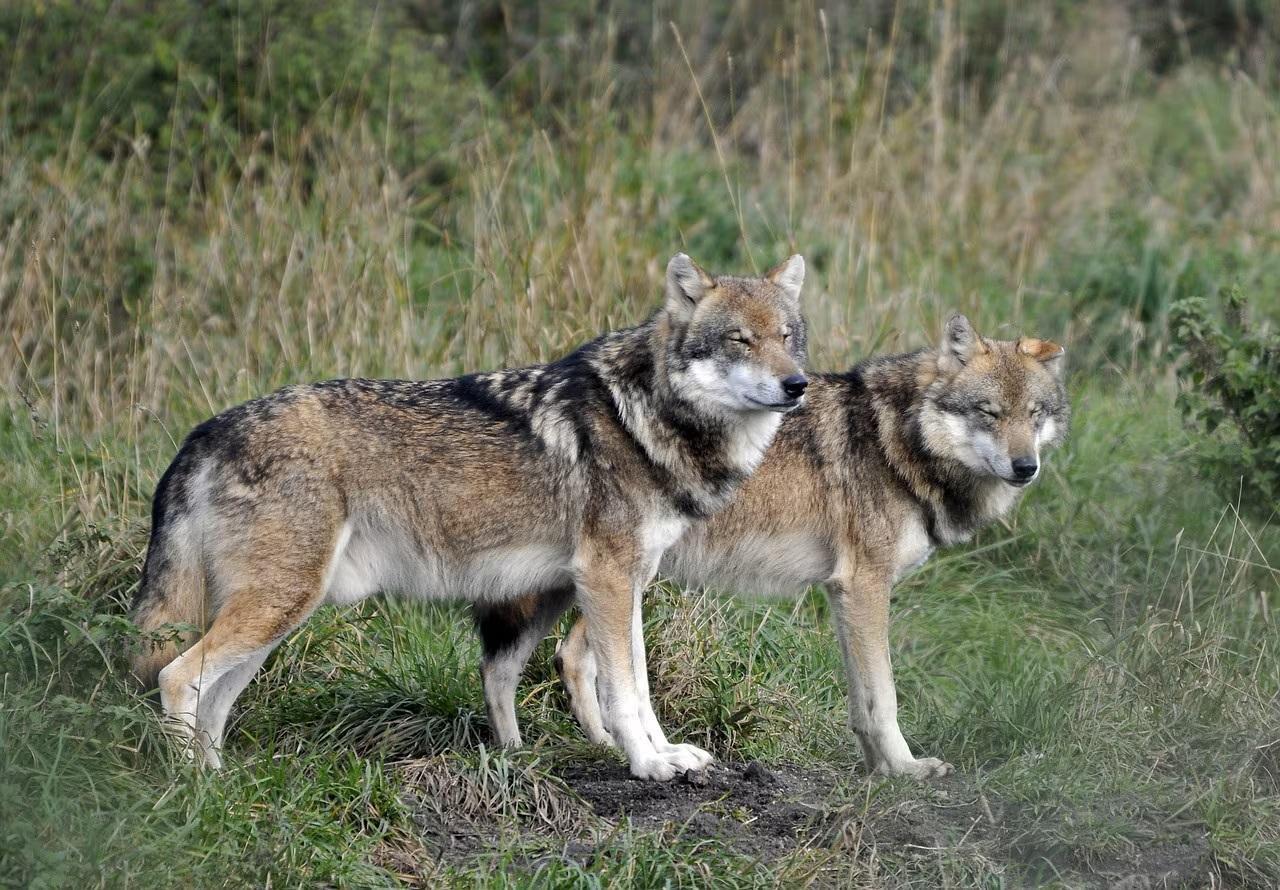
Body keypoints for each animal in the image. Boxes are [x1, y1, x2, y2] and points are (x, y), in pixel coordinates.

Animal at [131, 252, 809, 780]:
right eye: (739, 340)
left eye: (786, 337)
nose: (797, 385)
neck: (642, 417)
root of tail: (205, 431)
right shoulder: (609, 580)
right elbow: (623, 691)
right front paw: (647, 765)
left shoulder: (629, 582)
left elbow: (638, 687)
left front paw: (667, 754)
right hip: (278, 604)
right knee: (176, 677)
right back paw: (195, 788)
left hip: (278, 616)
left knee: (213, 699)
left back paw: (220, 779)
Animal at [483, 314, 1068, 779]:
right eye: (989, 413)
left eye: (1035, 414)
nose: (1026, 467)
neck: (895, 443)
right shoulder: (864, 586)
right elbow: (884, 698)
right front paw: (906, 768)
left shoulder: (844, 594)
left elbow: (862, 700)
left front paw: (877, 769)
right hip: (618, 578)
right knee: (565, 658)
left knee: (568, 656)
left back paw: (600, 748)